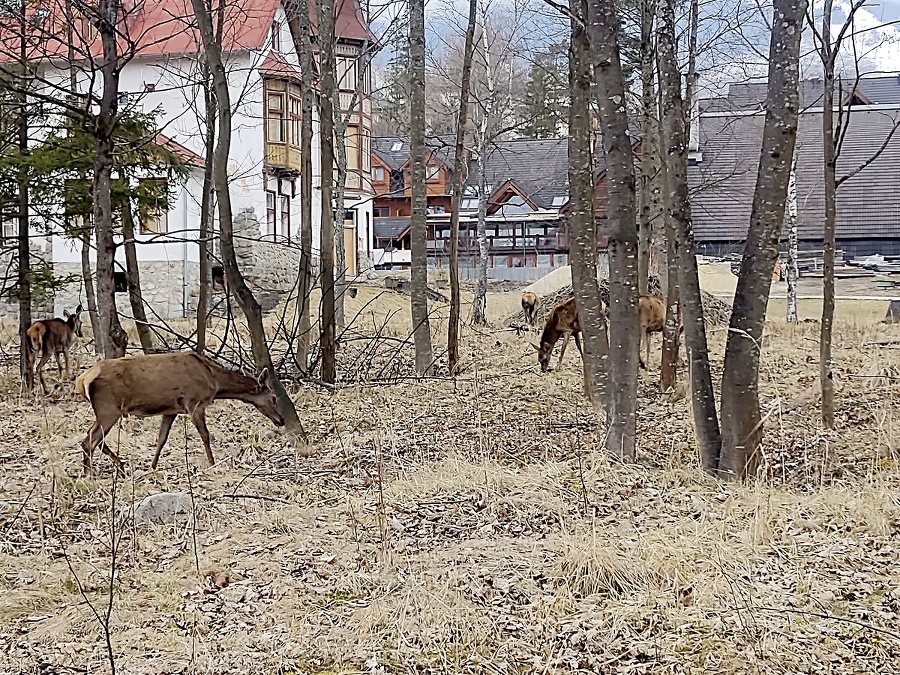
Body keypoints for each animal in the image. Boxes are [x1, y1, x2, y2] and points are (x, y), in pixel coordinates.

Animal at [75, 352, 284, 478]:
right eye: (273, 397)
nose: (281, 420)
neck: (214, 381)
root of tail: (82, 379)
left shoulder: (171, 410)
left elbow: (161, 439)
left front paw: (153, 466)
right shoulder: (195, 403)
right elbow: (205, 435)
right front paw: (212, 463)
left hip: (107, 410)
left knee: (94, 438)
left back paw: (119, 465)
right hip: (108, 408)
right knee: (89, 440)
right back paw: (88, 474)